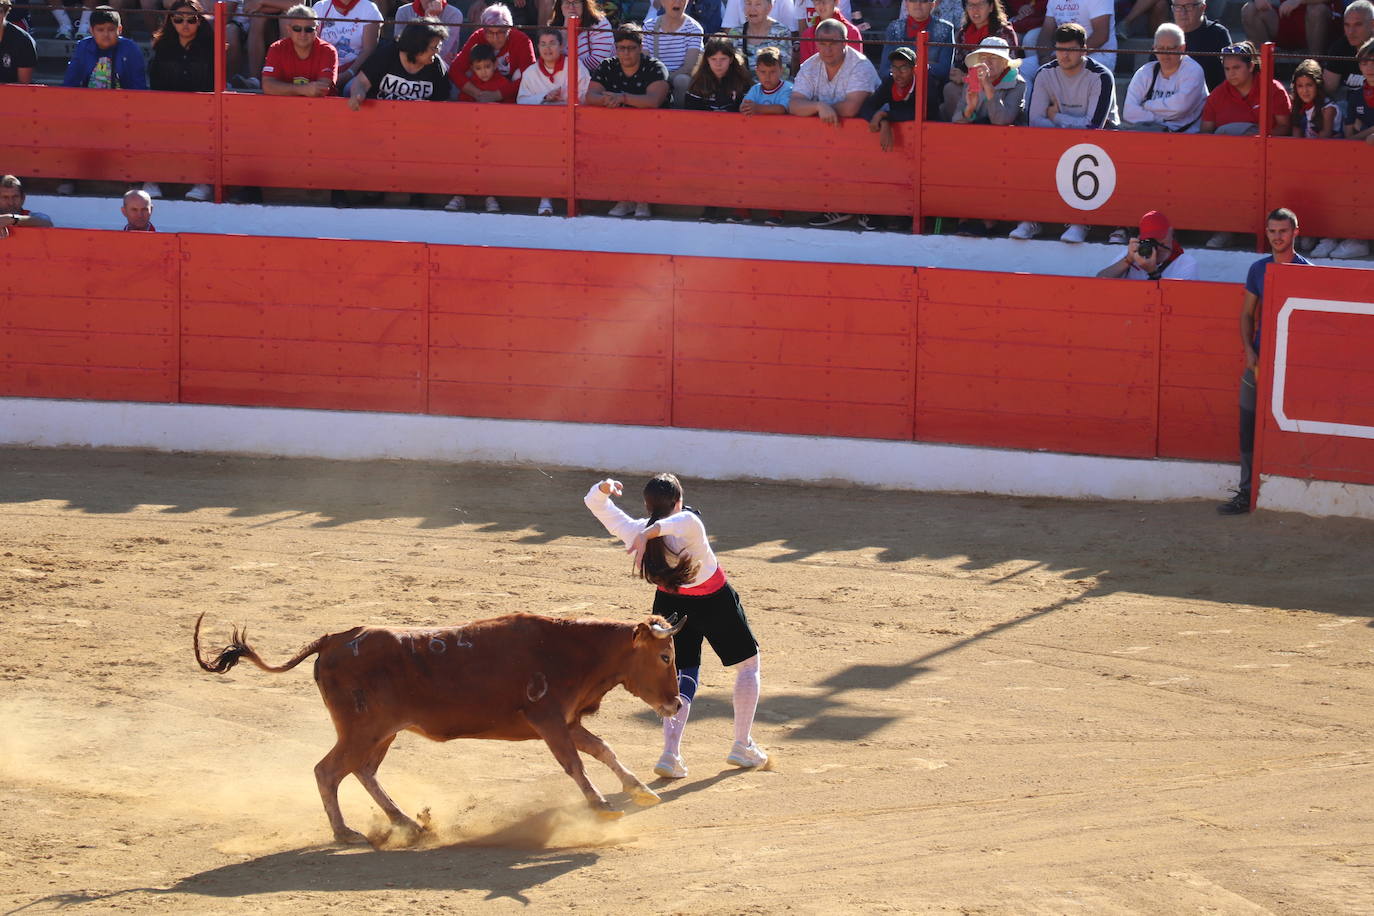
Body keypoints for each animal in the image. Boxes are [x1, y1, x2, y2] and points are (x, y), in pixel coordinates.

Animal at [193, 609, 687, 845]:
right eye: (665, 656)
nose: (675, 701)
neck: (571, 650)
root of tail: (334, 639)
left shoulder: (567, 721)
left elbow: (604, 749)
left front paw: (642, 789)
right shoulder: (548, 721)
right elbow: (574, 764)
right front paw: (602, 805)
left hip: (382, 731)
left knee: (362, 771)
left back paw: (407, 823)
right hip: (362, 729)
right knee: (329, 771)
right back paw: (346, 833)